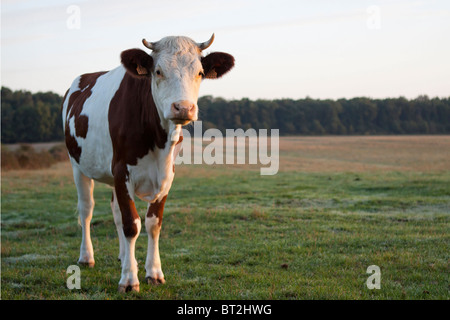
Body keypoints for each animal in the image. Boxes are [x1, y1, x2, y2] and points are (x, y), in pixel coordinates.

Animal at [62, 34, 236, 292]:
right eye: (158, 71)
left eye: (200, 73)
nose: (183, 107)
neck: (158, 138)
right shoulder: (122, 170)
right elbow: (131, 224)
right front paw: (128, 280)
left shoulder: (167, 174)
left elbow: (152, 223)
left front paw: (153, 272)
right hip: (78, 166)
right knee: (86, 210)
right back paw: (87, 257)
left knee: (115, 211)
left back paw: (124, 257)